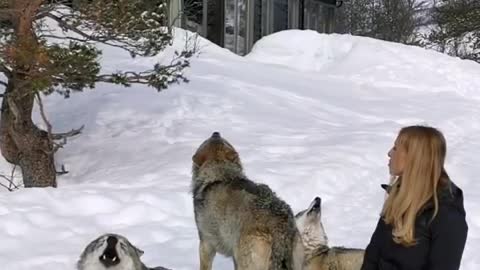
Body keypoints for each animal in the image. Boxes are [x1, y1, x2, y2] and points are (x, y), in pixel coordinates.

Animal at [189, 132, 302, 268]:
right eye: (223, 140)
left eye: (206, 140)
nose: (216, 132)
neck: (220, 176)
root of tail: (280, 224)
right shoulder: (233, 256)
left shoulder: (206, 244)